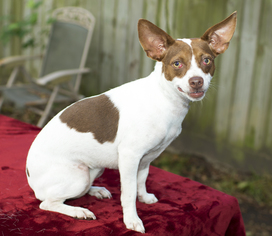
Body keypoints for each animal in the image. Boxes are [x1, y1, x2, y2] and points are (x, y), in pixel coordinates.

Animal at [26, 12, 237, 233]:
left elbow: (141, 180)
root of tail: (31, 179)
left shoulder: (146, 158)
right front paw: (132, 220)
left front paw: (143, 197)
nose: (196, 81)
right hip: (78, 176)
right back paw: (78, 211)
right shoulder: (129, 157)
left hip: (95, 168)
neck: (163, 98)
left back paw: (96, 190)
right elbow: (128, 193)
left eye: (206, 60)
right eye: (177, 64)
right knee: (47, 202)